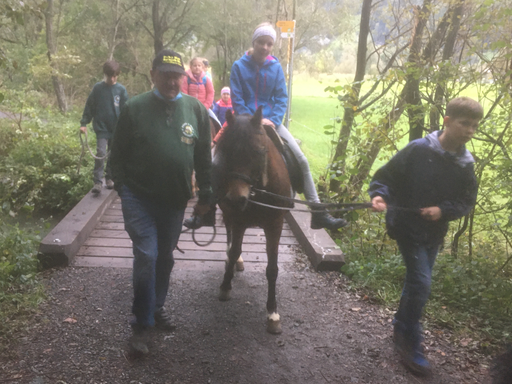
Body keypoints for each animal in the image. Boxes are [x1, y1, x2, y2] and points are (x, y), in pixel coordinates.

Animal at [213, 107, 292, 332]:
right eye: (227, 150)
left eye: (258, 151)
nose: (236, 198)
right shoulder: (238, 219)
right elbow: (234, 251)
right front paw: (225, 286)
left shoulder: (275, 225)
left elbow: (272, 268)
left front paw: (272, 313)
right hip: (229, 213)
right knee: (230, 237)